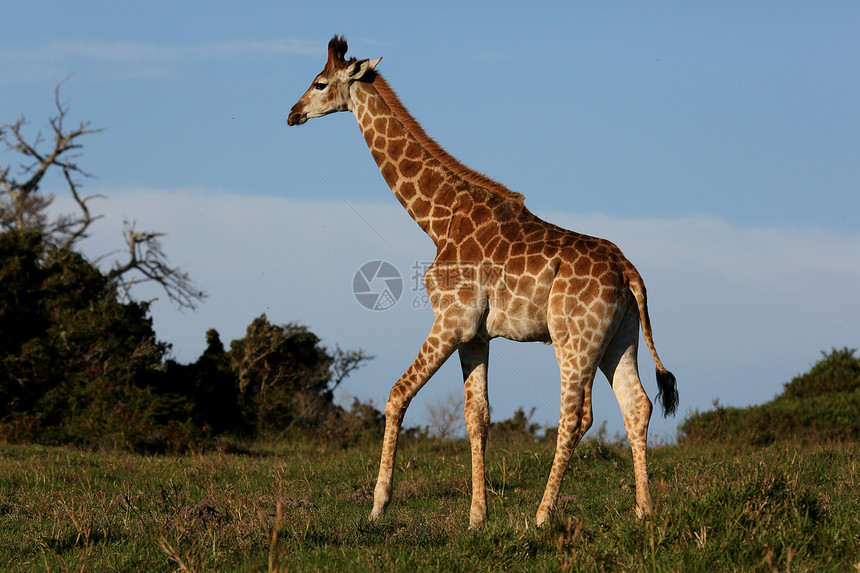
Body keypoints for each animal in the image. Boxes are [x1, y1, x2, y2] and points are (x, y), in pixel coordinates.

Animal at [288, 36, 680, 528]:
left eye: (320, 83)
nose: (293, 113)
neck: (438, 221)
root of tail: (629, 271)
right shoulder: (476, 335)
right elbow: (477, 415)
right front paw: (477, 517)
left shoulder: (451, 320)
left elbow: (397, 394)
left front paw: (378, 505)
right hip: (619, 339)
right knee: (637, 405)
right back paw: (643, 511)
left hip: (575, 339)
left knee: (577, 415)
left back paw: (543, 516)